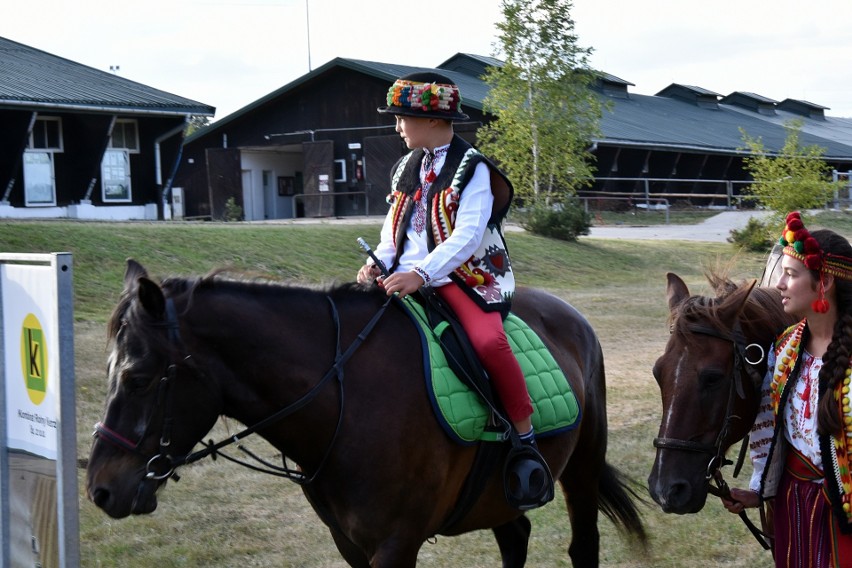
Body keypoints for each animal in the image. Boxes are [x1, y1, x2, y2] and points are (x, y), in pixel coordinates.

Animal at [86, 260, 644, 564]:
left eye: (137, 378)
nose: (99, 490)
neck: (345, 398)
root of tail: (569, 314)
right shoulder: (349, 544)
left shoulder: (395, 545)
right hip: (496, 495)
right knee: (516, 537)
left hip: (582, 468)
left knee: (582, 546)